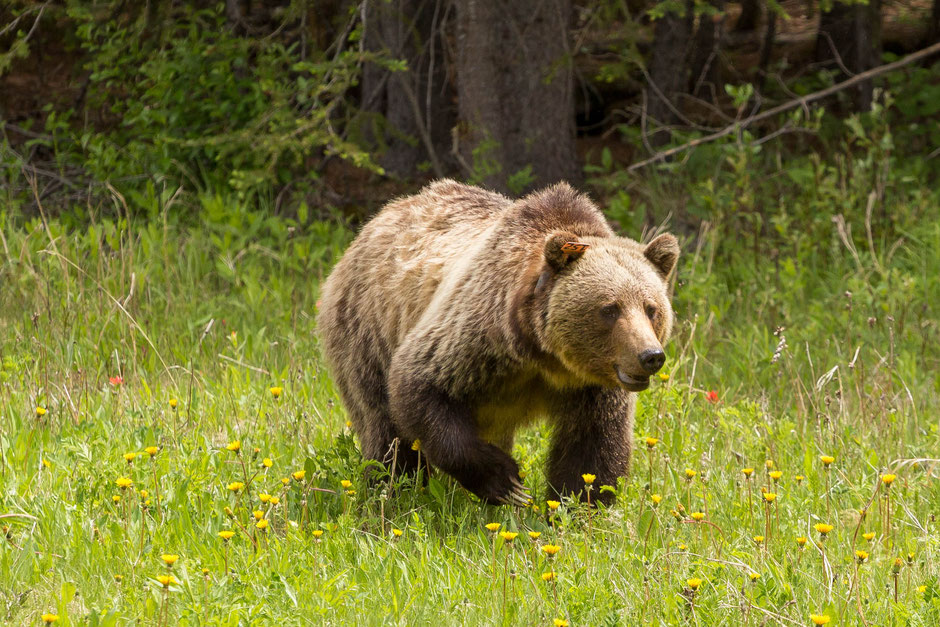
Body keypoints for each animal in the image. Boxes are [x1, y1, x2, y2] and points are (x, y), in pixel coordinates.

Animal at [317, 180, 679, 506]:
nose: (650, 356)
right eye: (610, 309)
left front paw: (576, 508)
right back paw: (392, 490)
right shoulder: (478, 335)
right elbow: (420, 386)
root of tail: (379, 217)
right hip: (367, 327)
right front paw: (506, 482)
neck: (544, 358)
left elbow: (592, 448)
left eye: (651, 308)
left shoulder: (592, 385)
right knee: (384, 427)